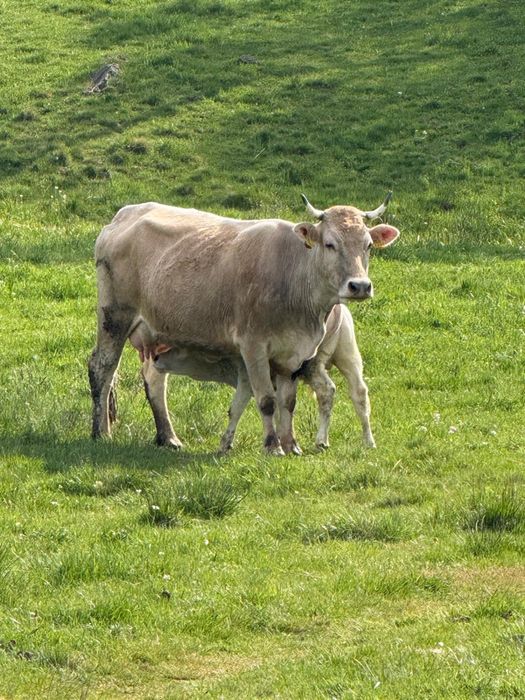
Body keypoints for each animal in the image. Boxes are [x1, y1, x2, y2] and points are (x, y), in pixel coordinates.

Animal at [88, 194, 399, 455]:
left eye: (368, 245)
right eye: (330, 244)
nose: (360, 286)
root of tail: (125, 214)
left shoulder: (294, 355)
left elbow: (288, 402)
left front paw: (292, 445)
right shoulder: (253, 347)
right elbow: (267, 400)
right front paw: (273, 446)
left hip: (158, 334)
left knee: (155, 379)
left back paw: (168, 437)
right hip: (114, 317)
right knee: (102, 368)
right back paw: (101, 432)